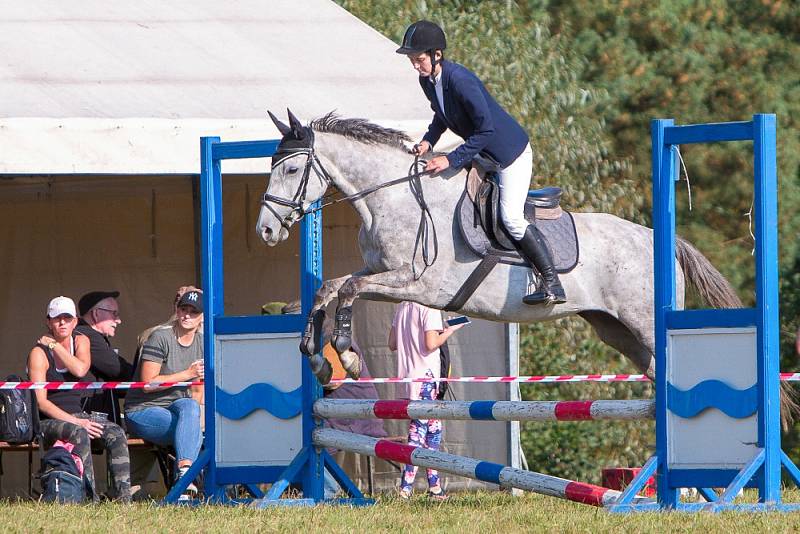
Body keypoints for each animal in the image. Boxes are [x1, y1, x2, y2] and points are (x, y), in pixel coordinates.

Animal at [260, 112, 740, 390]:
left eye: (292, 169)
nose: (265, 230)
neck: (393, 198)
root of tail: (660, 241)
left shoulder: (414, 284)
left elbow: (347, 290)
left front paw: (346, 354)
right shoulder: (380, 273)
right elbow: (330, 288)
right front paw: (318, 358)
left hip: (644, 321)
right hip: (615, 328)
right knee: (655, 371)